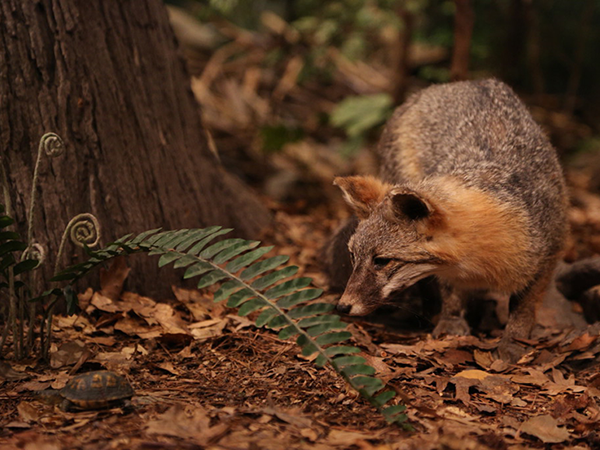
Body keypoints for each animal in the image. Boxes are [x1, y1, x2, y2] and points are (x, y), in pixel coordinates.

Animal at [330, 78, 568, 362]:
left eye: (381, 261)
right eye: (353, 256)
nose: (342, 306)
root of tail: (466, 82)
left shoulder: (547, 254)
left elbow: (523, 307)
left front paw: (513, 341)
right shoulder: (447, 270)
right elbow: (450, 291)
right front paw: (451, 322)